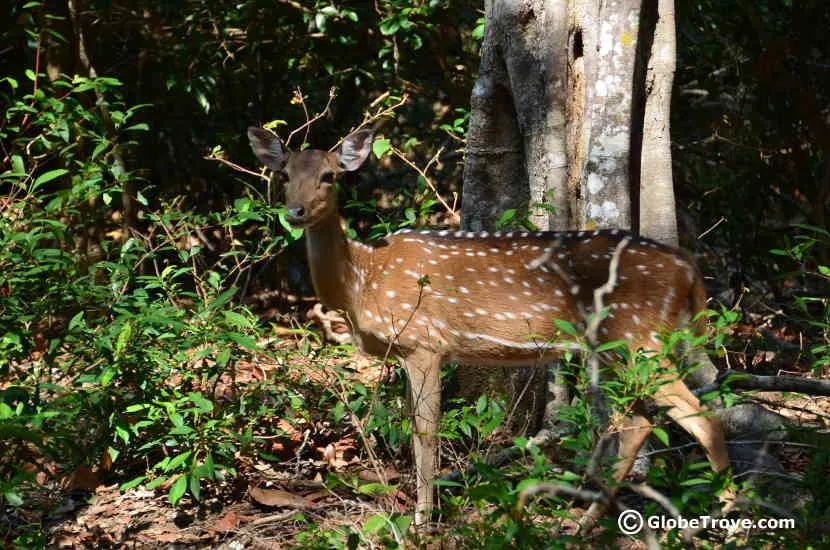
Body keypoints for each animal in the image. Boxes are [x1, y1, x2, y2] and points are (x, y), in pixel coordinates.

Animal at [250, 125, 732, 528]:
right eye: (284, 173)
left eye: (330, 176)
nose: (295, 211)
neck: (362, 282)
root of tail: (688, 271)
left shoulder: (424, 341)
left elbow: (426, 432)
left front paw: (422, 521)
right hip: (620, 345)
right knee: (638, 421)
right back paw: (588, 521)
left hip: (639, 336)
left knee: (702, 417)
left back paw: (728, 514)